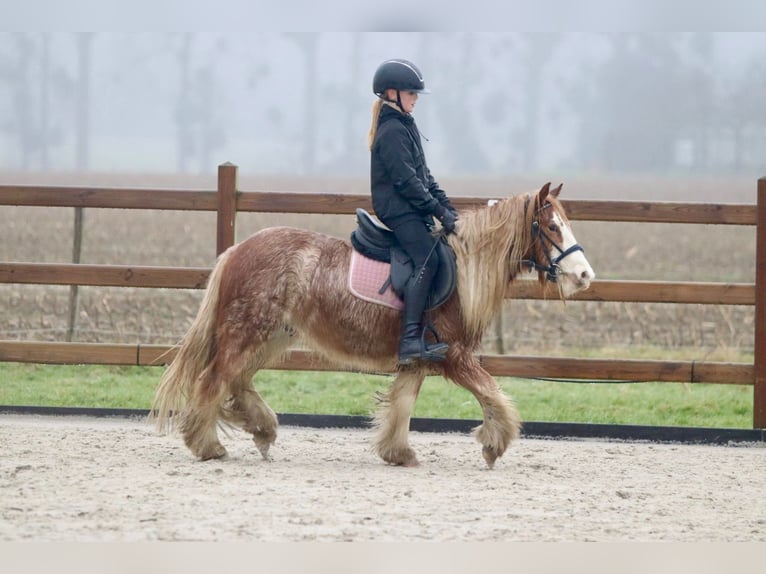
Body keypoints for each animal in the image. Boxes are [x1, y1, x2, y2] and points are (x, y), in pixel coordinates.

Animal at [148, 182, 592, 470]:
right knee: (214, 379)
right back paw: (207, 445)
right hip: (249, 332)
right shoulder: (454, 355)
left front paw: (398, 453)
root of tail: (237, 249)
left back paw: (262, 429)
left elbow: (402, 404)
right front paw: (493, 444)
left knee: (237, 379)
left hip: (273, 336)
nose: (585, 275)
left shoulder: (417, 360)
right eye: (552, 227)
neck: (465, 269)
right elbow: (494, 395)